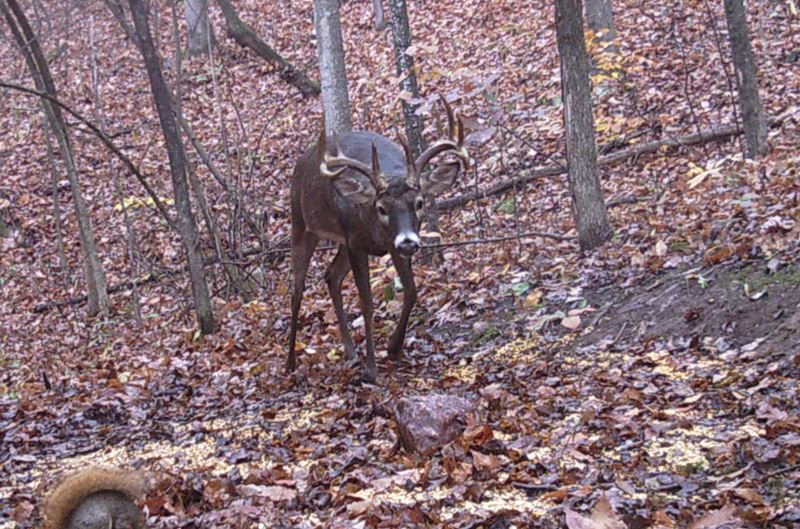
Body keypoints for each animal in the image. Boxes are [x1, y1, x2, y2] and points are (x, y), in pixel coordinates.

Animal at [287, 96, 470, 383]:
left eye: (419, 202)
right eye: (381, 207)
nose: (408, 242)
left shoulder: (386, 245)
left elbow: (411, 290)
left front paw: (393, 346)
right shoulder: (356, 243)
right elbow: (367, 303)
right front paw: (371, 371)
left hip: (341, 241)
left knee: (331, 276)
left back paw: (350, 352)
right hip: (302, 224)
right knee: (296, 291)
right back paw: (290, 362)